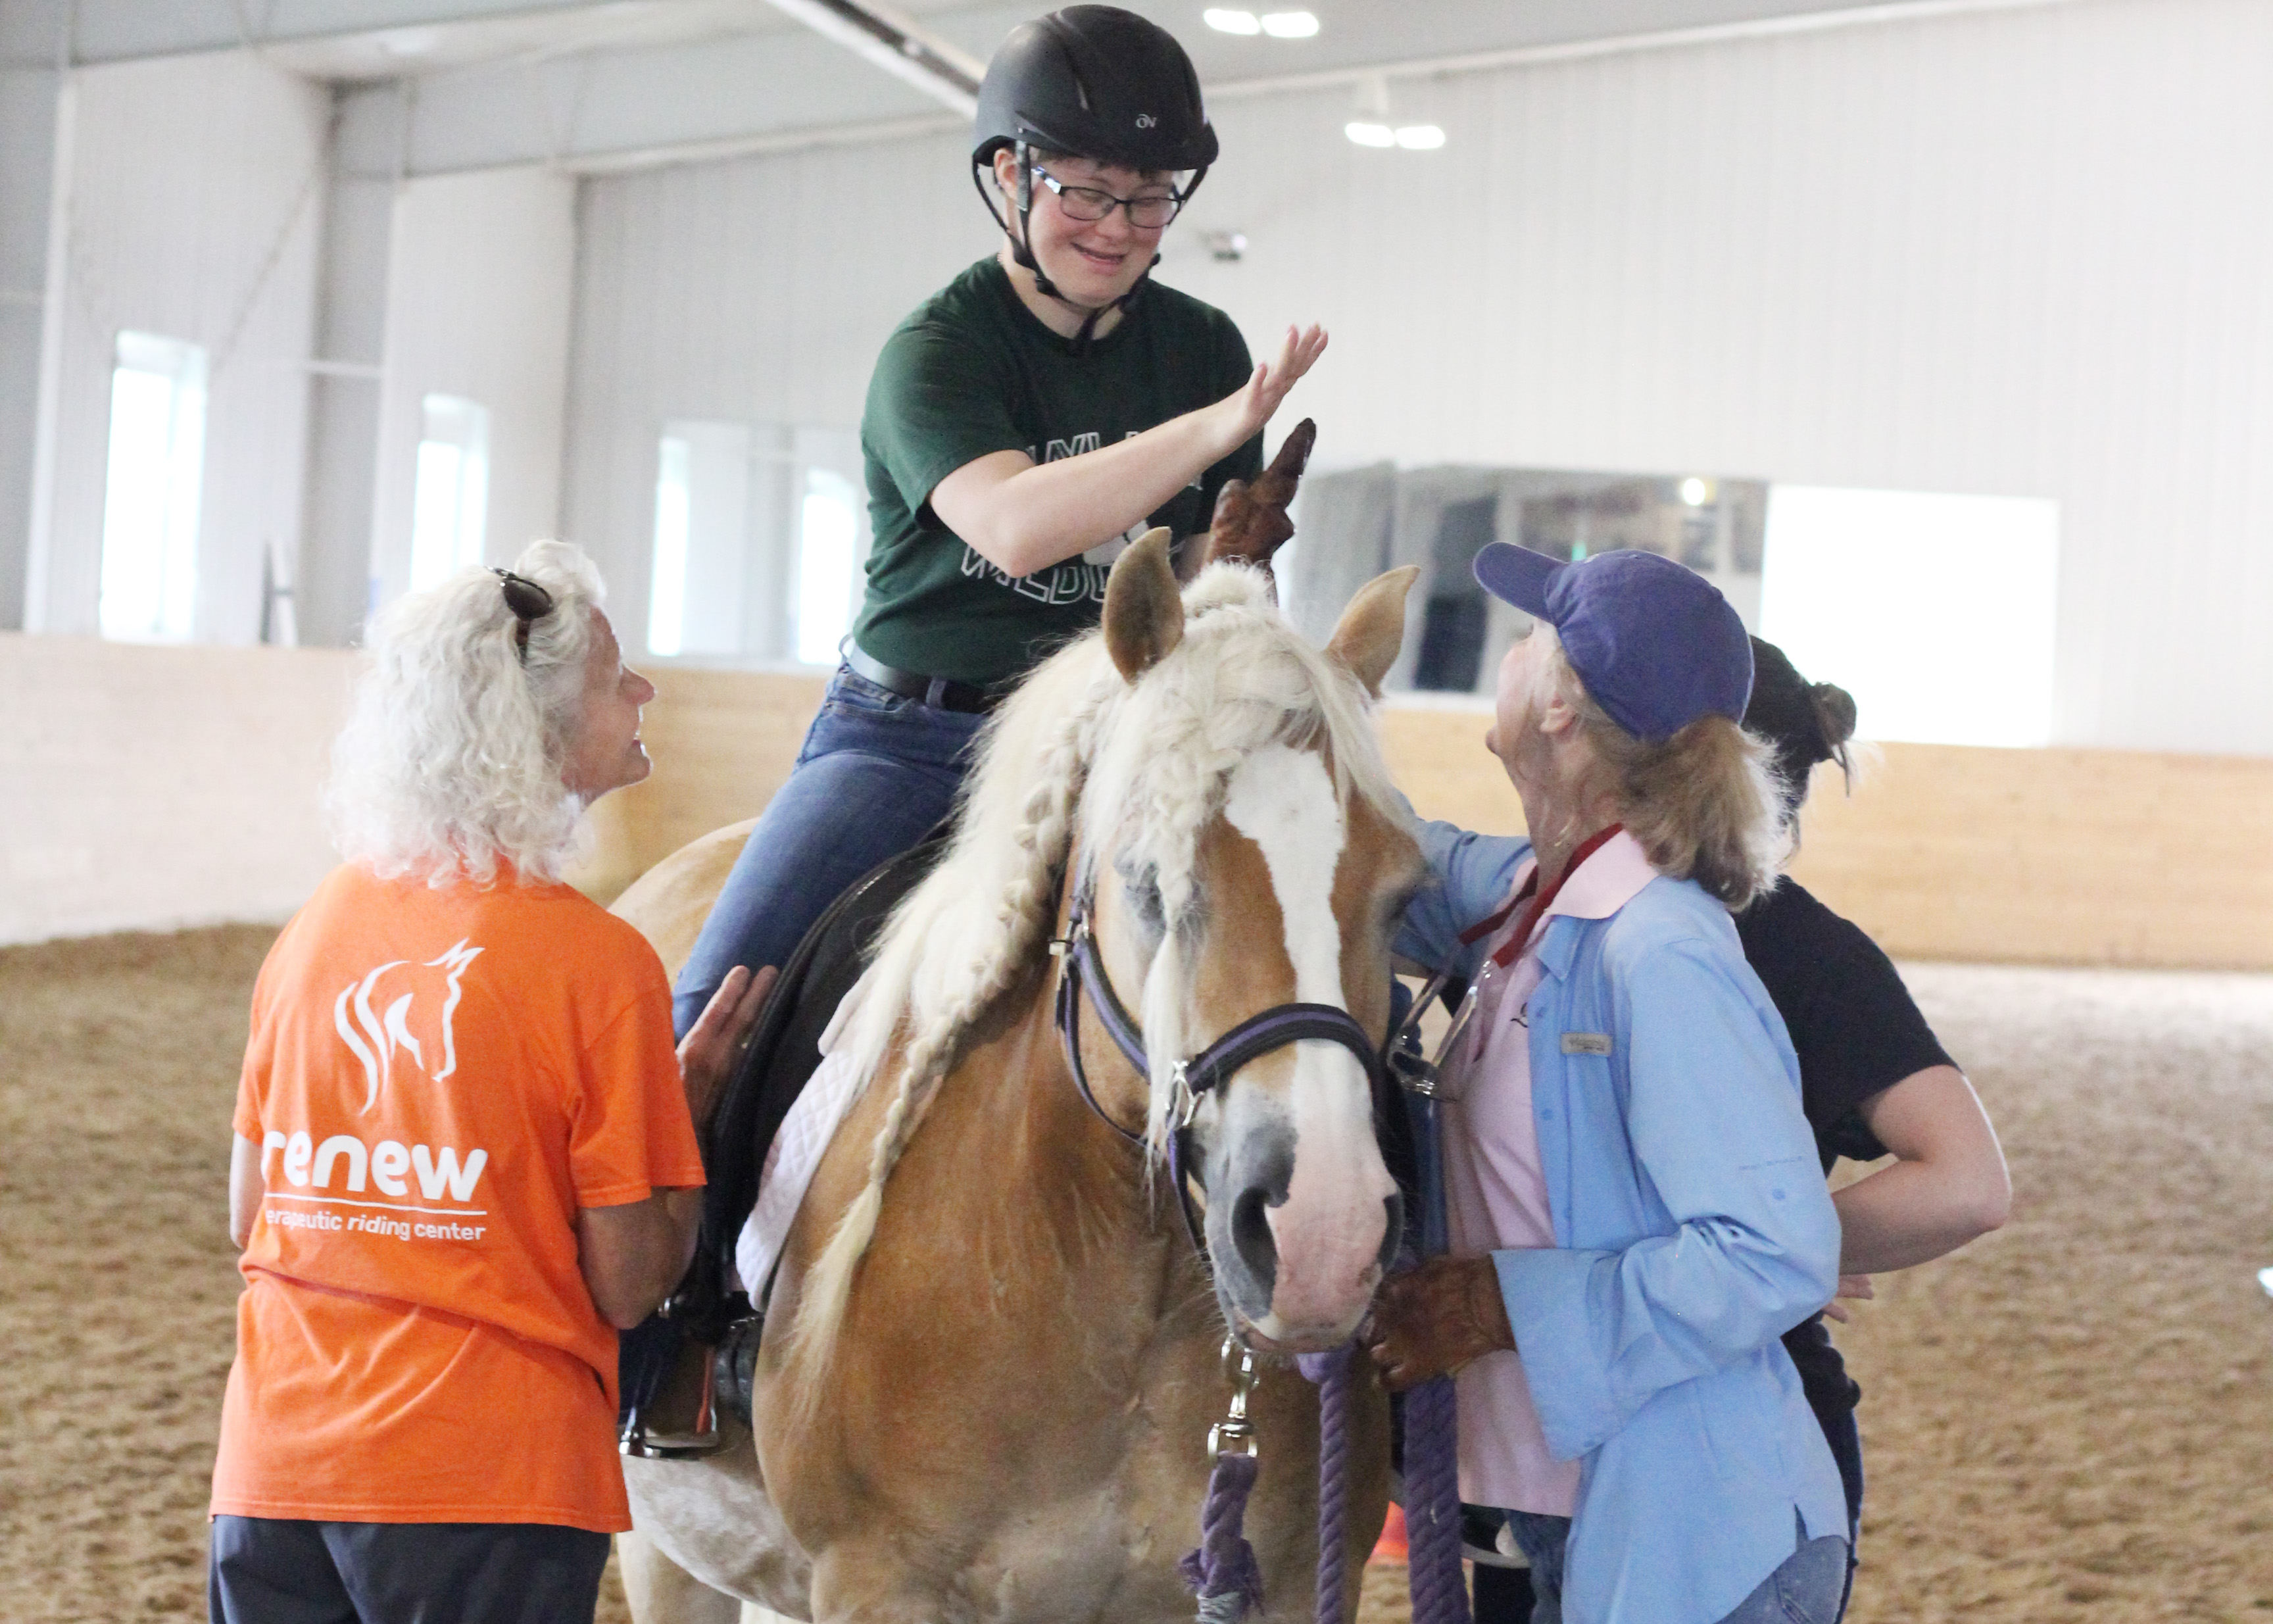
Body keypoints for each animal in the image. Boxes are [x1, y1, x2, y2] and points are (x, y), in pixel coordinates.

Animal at [614, 537, 1409, 1619]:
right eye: (1146, 881)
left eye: (1403, 895)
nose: (1321, 1235)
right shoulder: (879, 1582)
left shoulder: (1280, 1588)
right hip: (662, 1549)